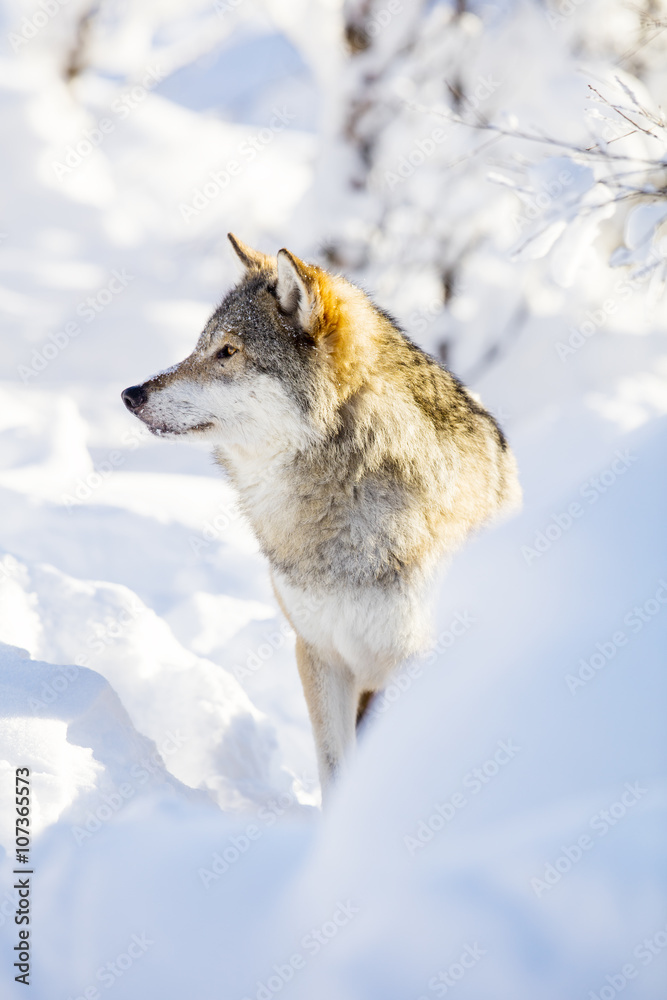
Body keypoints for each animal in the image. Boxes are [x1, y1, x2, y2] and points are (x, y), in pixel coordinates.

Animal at [122, 234, 521, 798]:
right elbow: (335, 769)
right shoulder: (319, 653)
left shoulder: (410, 661)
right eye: (200, 346)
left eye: (227, 351)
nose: (131, 394)